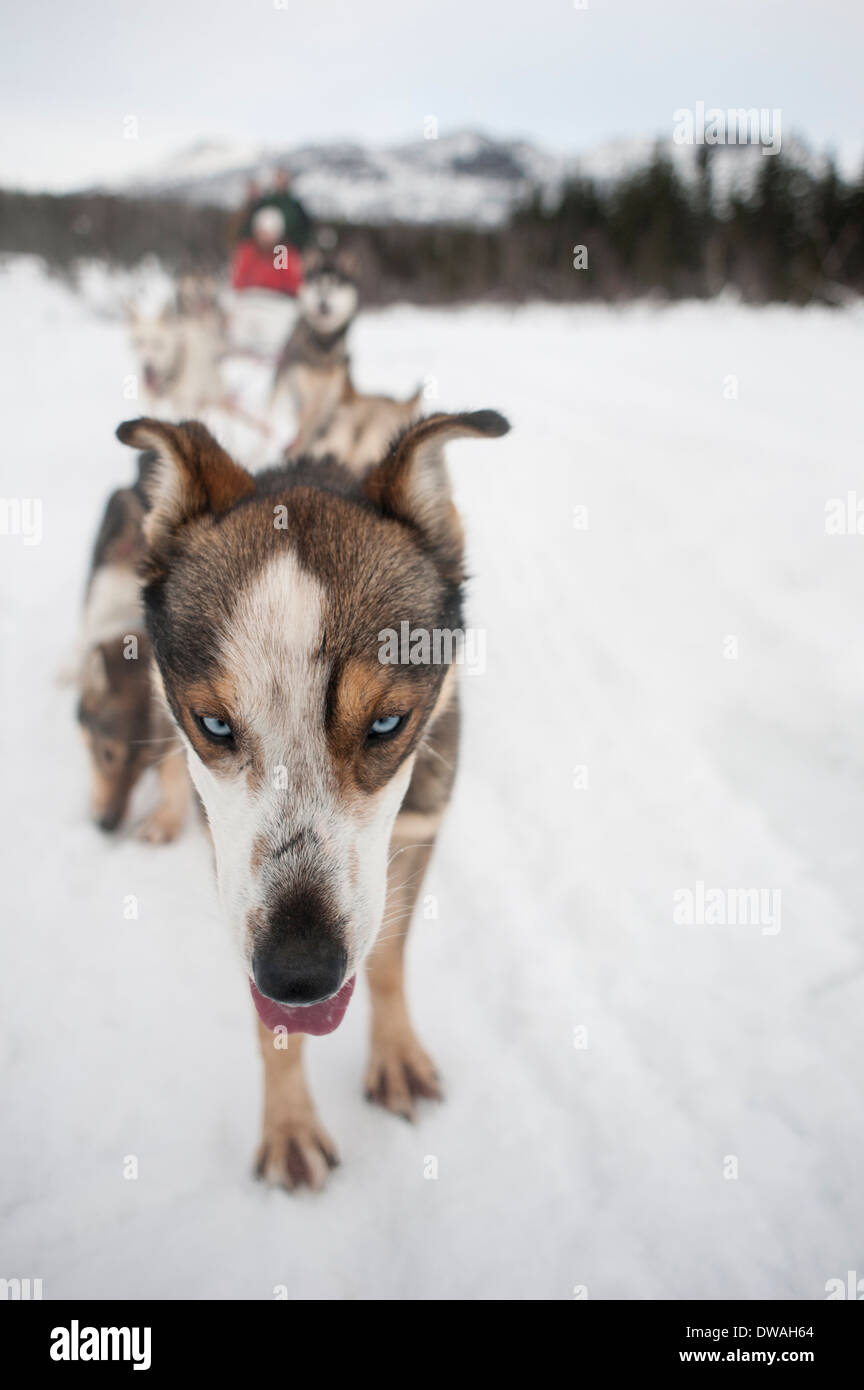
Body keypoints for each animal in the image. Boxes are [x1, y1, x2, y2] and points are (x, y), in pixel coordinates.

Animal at [115, 405, 508, 1189]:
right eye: (214, 724)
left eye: (387, 723)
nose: (299, 973)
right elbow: (272, 1025)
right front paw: (290, 1125)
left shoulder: (420, 829)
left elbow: (386, 957)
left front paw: (394, 1053)